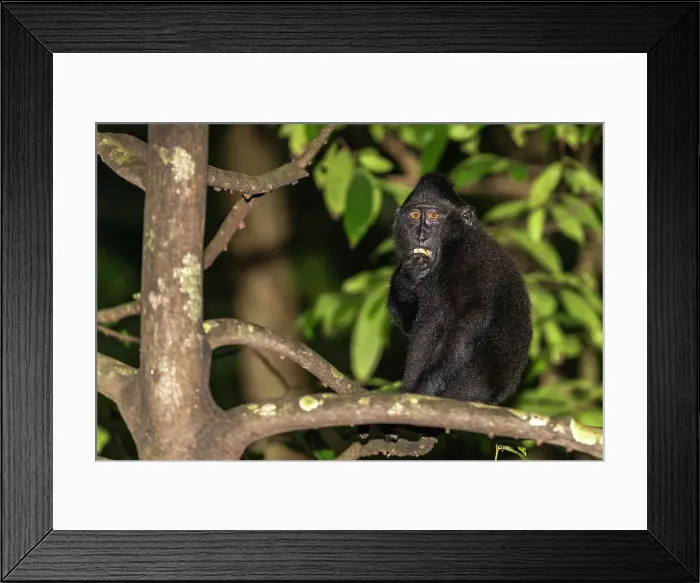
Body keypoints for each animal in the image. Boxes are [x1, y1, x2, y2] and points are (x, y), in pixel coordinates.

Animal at [359, 172, 532, 444]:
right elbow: (411, 324)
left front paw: (421, 395)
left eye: (433, 216)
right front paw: (405, 279)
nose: (421, 235)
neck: (452, 250)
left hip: (469, 384)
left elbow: (464, 325)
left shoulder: (472, 265)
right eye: (415, 215)